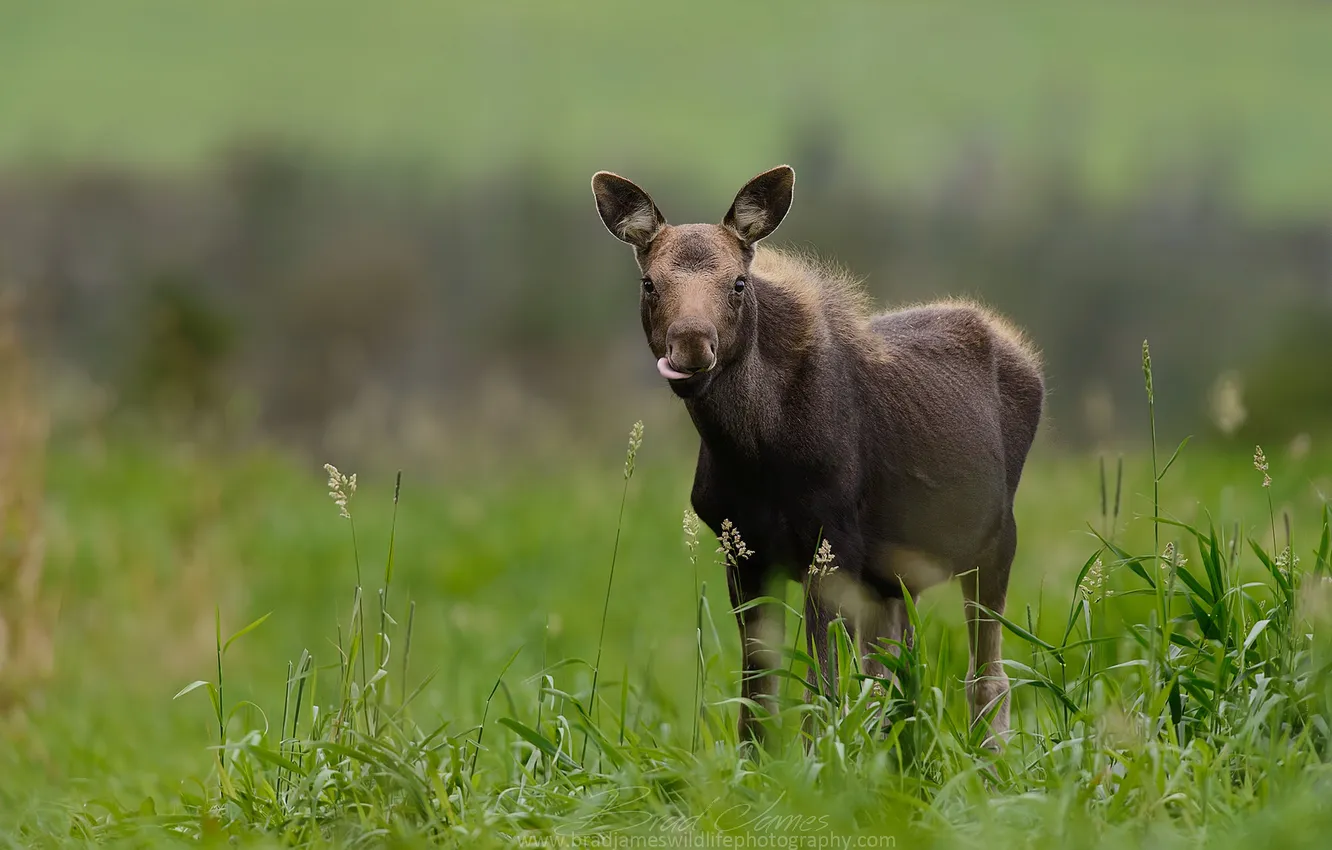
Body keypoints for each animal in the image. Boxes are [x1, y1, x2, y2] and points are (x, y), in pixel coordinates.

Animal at [590, 165, 1044, 748]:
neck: (754, 456)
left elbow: (821, 693)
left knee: (986, 676)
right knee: (896, 675)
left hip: (994, 543)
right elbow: (759, 701)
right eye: (650, 282)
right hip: (894, 577)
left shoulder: (832, 546)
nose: (691, 344)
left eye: (738, 282)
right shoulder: (745, 554)